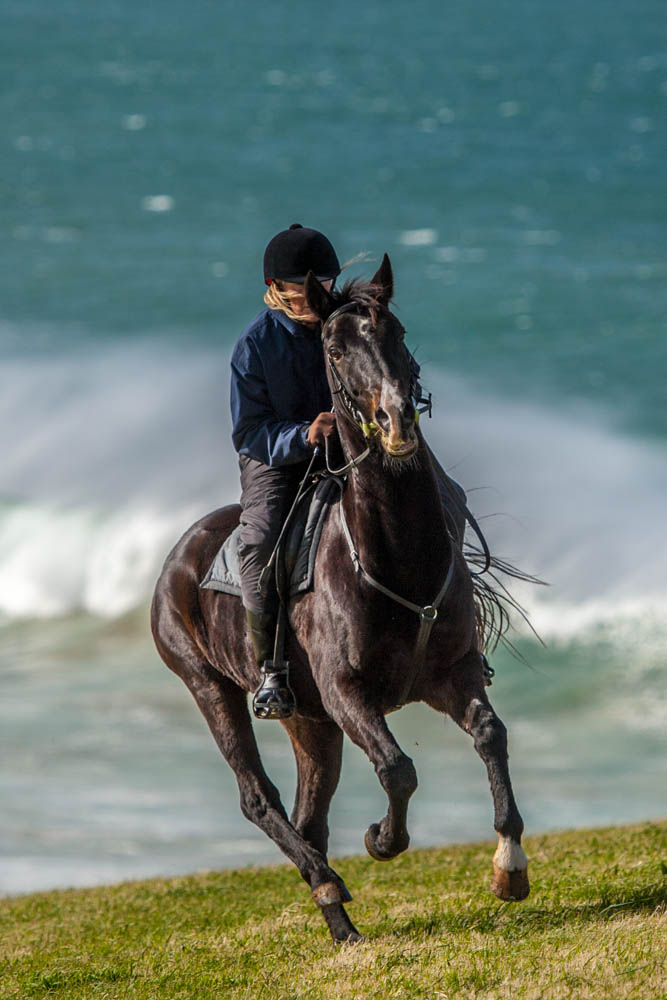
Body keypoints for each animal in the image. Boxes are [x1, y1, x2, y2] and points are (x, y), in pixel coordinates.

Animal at [150, 254, 528, 940]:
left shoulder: (454, 674)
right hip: (211, 688)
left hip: (310, 721)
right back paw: (329, 883)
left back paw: (340, 923)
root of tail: (179, 556)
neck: (396, 558)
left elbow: (490, 734)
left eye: (397, 331)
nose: (397, 420)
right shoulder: (348, 693)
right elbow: (398, 768)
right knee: (259, 798)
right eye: (333, 346)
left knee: (308, 814)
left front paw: (509, 867)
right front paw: (383, 839)